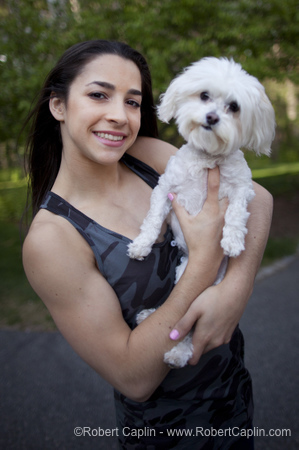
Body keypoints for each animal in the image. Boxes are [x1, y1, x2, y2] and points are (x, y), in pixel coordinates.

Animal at [127, 56, 276, 368]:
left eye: (234, 107)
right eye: (204, 95)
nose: (211, 117)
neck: (208, 158)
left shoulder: (243, 189)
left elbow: (236, 214)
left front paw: (233, 241)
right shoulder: (166, 189)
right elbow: (153, 219)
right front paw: (141, 245)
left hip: (201, 287)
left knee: (191, 329)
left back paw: (177, 354)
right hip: (185, 273)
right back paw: (151, 317)